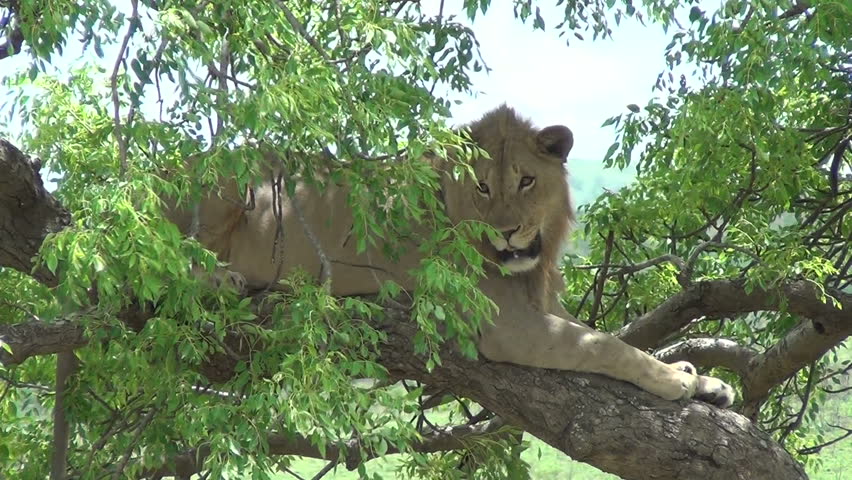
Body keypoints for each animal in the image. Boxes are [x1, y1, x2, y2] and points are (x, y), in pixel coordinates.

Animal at [164, 105, 734, 408]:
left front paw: (704, 380)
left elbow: (606, 334)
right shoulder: (505, 323)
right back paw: (224, 280)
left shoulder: (539, 301)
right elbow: (603, 346)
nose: (506, 232)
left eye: (526, 181)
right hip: (228, 180)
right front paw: (677, 380)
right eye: (482, 187)